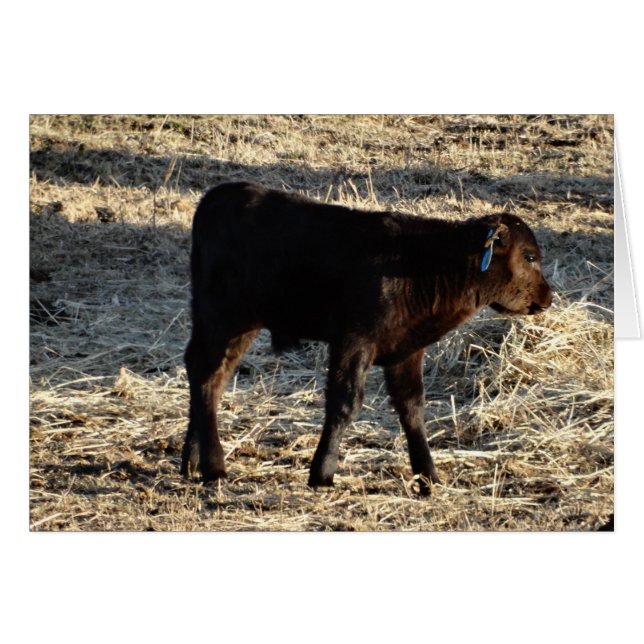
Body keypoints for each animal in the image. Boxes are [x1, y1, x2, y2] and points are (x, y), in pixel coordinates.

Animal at [181, 181, 553, 495]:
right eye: (530, 257)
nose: (548, 297)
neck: (419, 264)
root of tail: (219, 195)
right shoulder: (353, 340)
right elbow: (345, 403)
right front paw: (322, 474)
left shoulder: (406, 351)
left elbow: (412, 408)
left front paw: (428, 478)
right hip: (222, 317)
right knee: (206, 376)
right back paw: (214, 467)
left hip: (235, 324)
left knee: (209, 376)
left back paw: (192, 460)